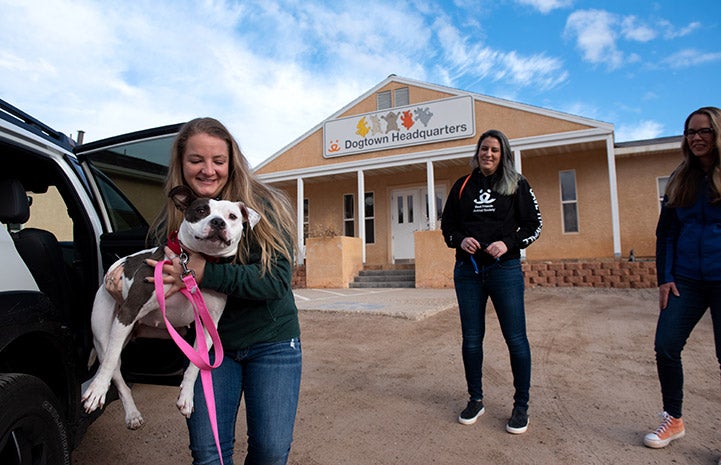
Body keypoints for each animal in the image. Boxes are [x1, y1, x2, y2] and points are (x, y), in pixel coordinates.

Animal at [81, 184, 258, 428]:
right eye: (201, 210)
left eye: (232, 216)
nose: (218, 222)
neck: (189, 264)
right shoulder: (129, 310)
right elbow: (108, 363)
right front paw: (97, 390)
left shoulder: (208, 326)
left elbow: (196, 364)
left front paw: (187, 397)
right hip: (106, 334)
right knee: (113, 367)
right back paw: (128, 410)